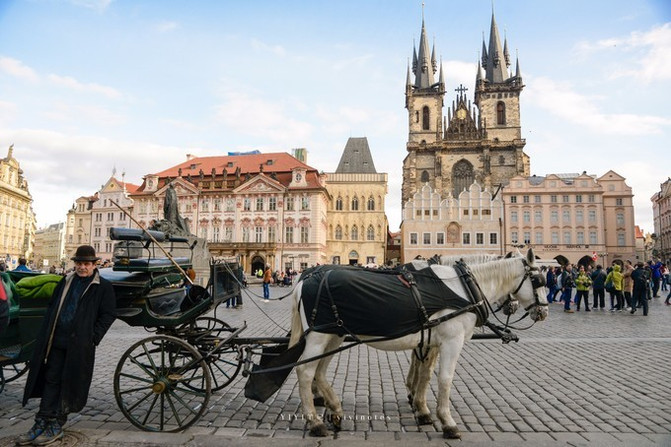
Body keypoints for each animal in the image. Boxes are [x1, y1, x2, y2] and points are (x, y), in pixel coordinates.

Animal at [286, 250, 548, 440]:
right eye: (538, 280)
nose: (543, 312)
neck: (463, 288)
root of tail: (304, 281)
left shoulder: (429, 341)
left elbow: (425, 374)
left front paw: (421, 408)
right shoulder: (451, 341)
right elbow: (444, 379)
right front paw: (447, 422)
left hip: (334, 335)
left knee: (319, 371)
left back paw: (336, 411)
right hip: (319, 336)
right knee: (305, 371)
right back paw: (315, 422)